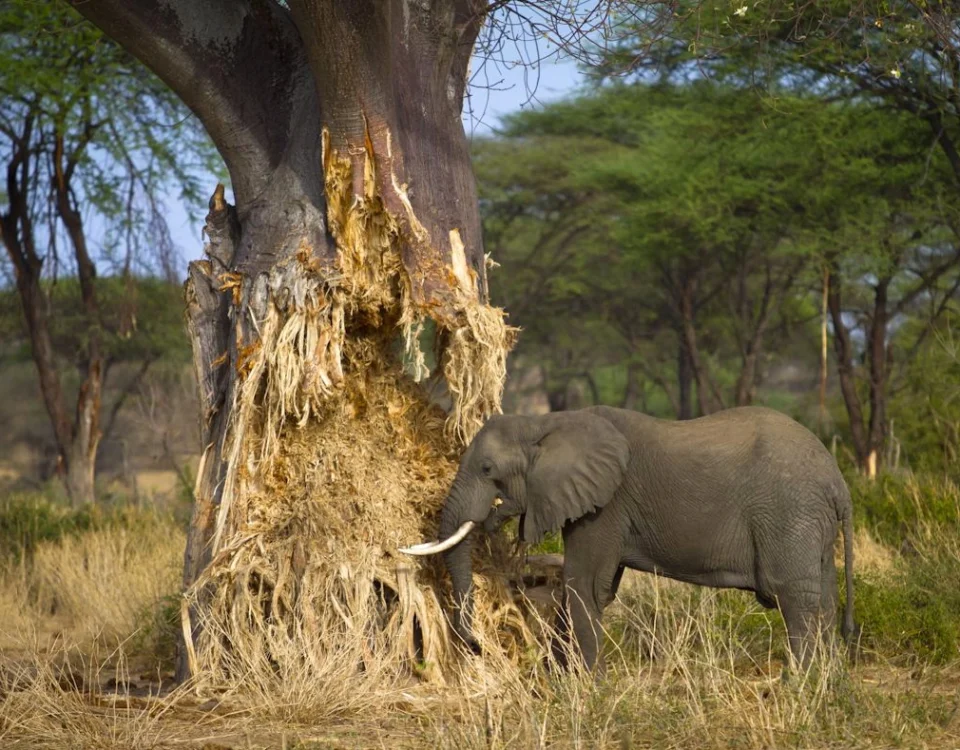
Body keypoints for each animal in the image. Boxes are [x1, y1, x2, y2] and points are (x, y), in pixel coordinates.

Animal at [402, 406, 860, 676]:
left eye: (486, 469)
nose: (477, 647)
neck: (549, 422)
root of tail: (839, 482)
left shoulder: (606, 505)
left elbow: (585, 586)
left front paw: (588, 687)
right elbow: (587, 590)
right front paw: (557, 678)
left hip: (789, 514)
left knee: (795, 598)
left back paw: (800, 687)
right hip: (811, 524)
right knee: (823, 596)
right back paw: (832, 688)